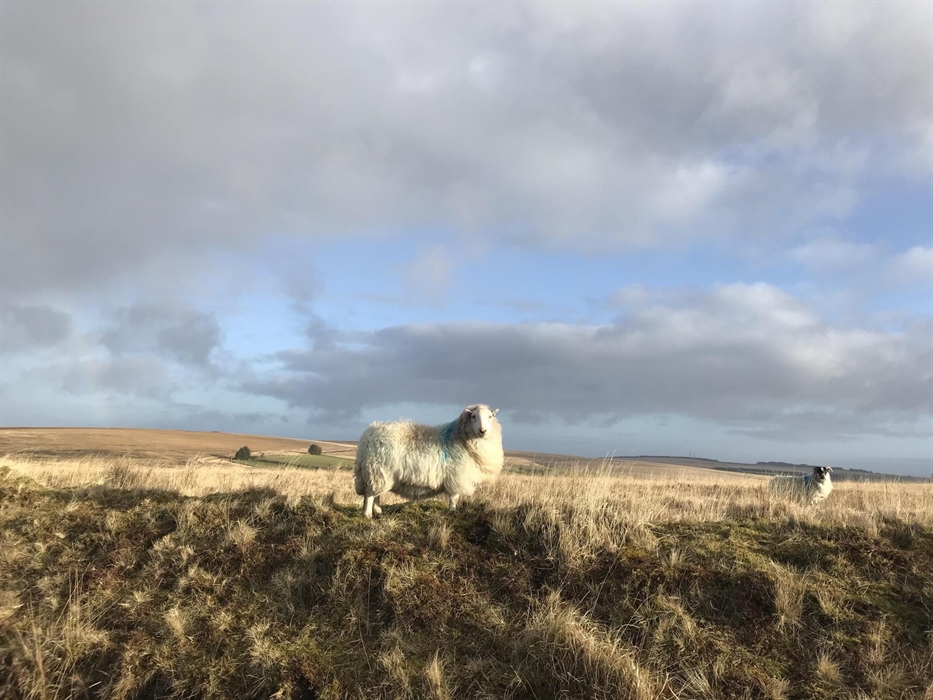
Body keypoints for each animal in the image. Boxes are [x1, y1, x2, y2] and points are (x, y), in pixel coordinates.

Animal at [353, 404, 504, 518]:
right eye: (473, 417)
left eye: (490, 417)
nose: (483, 431)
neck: (461, 437)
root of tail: (367, 437)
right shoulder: (456, 476)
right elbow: (454, 497)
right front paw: (452, 512)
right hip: (378, 471)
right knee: (370, 495)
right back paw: (368, 515)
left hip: (378, 474)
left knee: (376, 494)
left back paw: (378, 512)